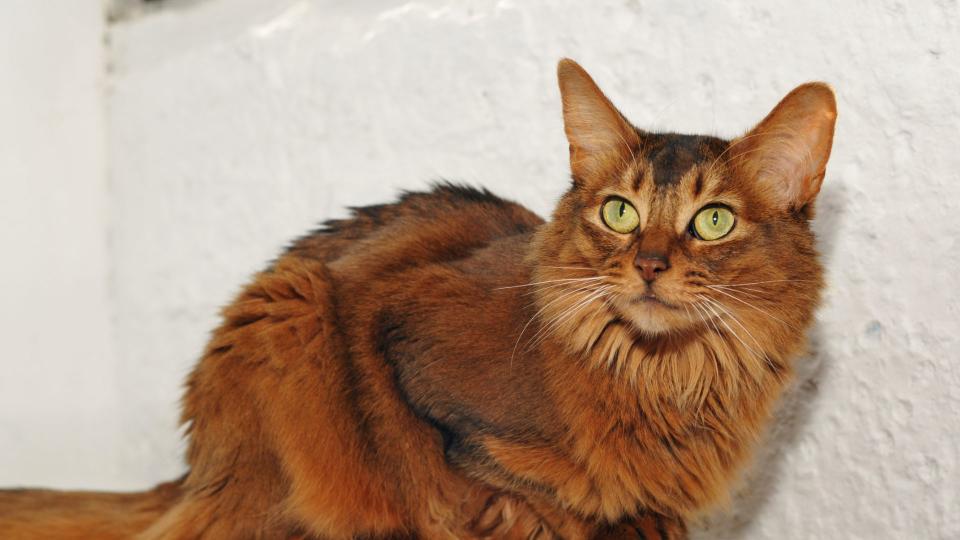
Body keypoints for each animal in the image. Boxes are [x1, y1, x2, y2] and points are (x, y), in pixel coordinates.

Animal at [0, 60, 836, 540]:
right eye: (619, 213)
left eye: (714, 220)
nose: (651, 265)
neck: (666, 379)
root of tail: (195, 467)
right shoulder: (398, 331)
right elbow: (472, 467)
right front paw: (525, 510)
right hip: (289, 310)